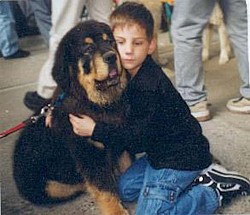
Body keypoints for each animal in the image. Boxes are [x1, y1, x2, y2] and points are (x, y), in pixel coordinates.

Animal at [13, 20, 132, 215]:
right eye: (88, 48)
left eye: (111, 42)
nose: (111, 57)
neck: (97, 104)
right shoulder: (88, 153)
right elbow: (104, 189)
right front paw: (117, 210)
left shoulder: (119, 140)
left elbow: (128, 165)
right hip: (47, 187)